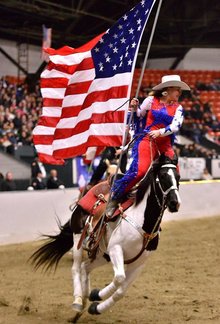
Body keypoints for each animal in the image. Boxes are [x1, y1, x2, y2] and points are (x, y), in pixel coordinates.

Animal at [29, 154, 180, 316]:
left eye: (178, 176)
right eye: (163, 176)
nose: (174, 203)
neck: (143, 223)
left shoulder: (139, 263)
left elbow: (121, 292)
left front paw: (96, 306)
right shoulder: (115, 249)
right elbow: (119, 278)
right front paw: (96, 295)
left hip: (103, 254)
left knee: (85, 267)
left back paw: (85, 297)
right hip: (79, 239)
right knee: (76, 267)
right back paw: (78, 301)